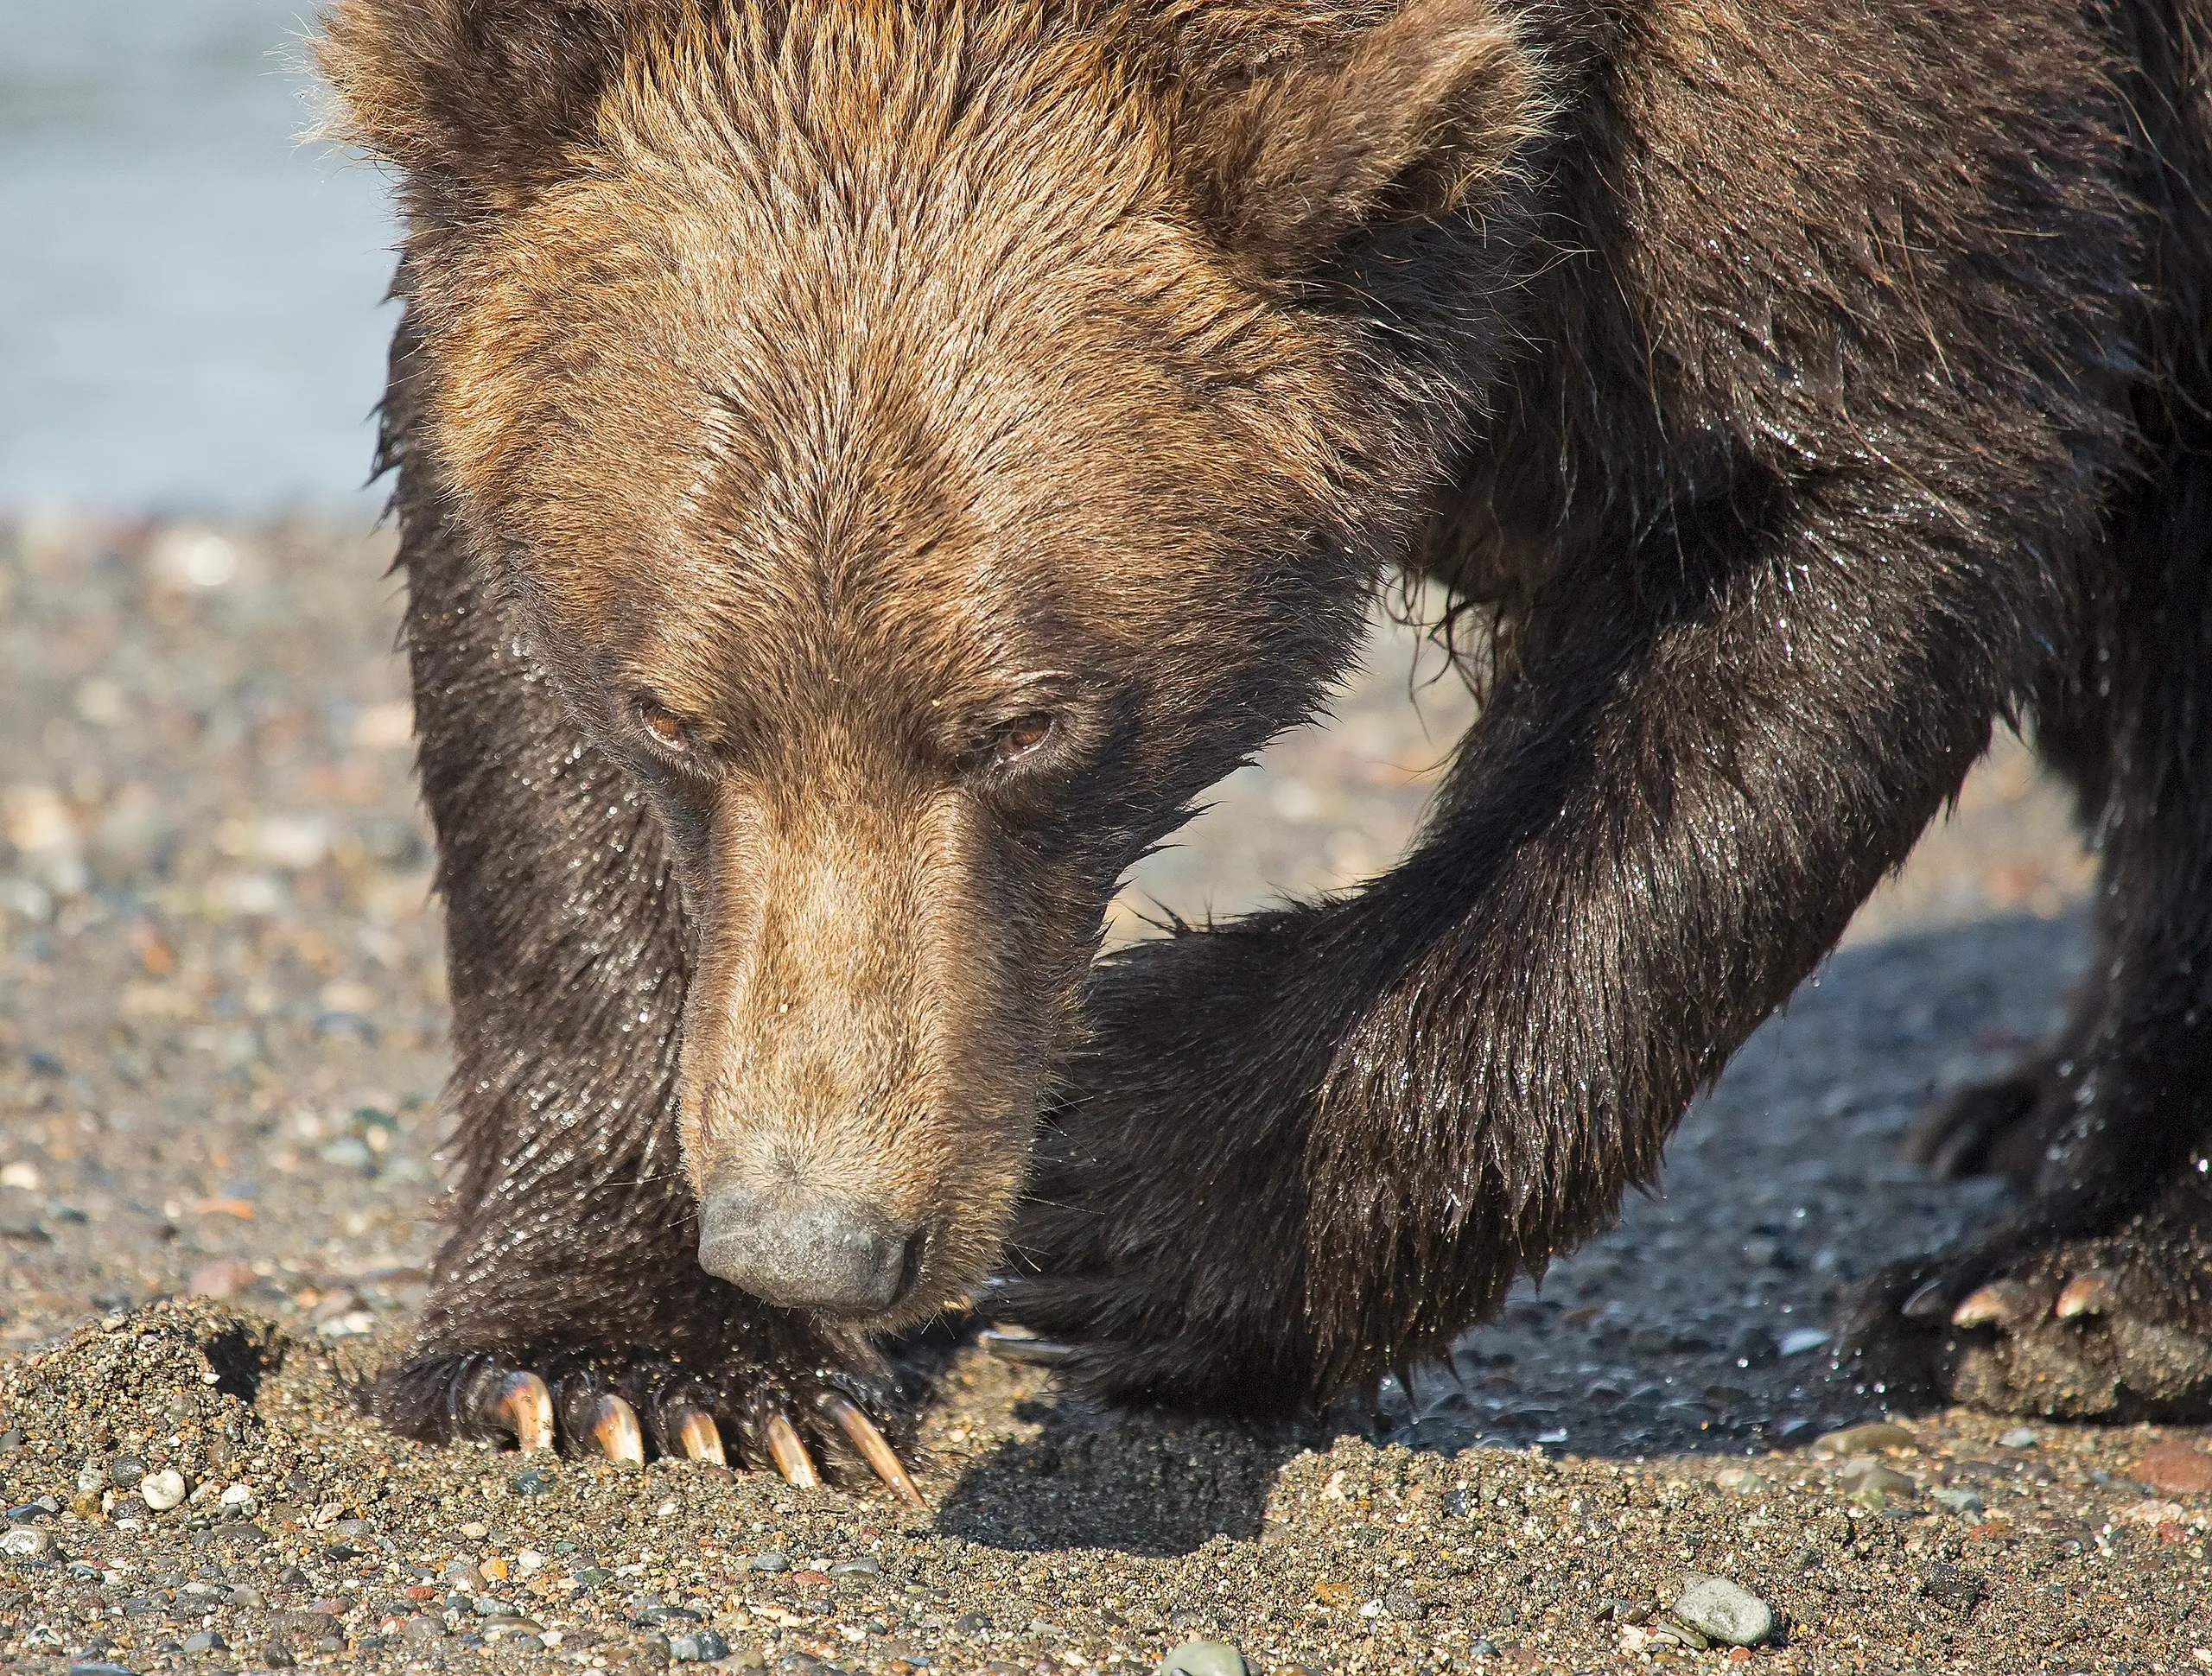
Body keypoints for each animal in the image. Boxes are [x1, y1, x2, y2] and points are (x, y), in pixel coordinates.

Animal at [317, 0, 2212, 1487]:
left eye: (1026, 724)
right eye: (670, 711)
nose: (819, 1239)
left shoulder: (1859, 136)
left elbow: (1852, 495)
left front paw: (1145, 1192)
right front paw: (649, 1361)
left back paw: (2084, 1267)